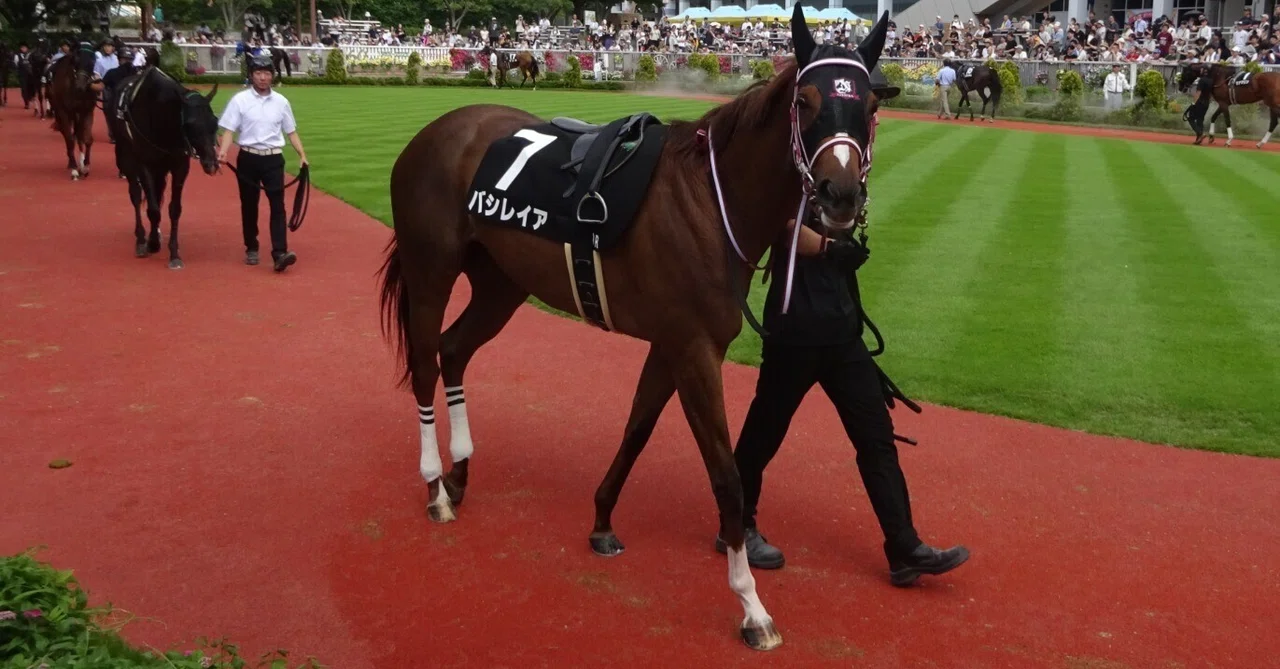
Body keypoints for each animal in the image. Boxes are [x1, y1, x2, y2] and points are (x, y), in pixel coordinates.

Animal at [47, 45, 103, 180]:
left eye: (92, 62)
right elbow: (69, 139)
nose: (81, 86)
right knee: (67, 134)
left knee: (78, 134)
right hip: (59, 111)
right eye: (76, 61)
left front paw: (85, 166)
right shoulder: (64, 111)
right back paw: (71, 162)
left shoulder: (87, 110)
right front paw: (74, 169)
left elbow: (87, 139)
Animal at [104, 67, 221, 269]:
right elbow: (152, 208)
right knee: (136, 195)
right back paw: (141, 238)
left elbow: (174, 208)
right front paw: (151, 243)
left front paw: (173, 253)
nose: (211, 163)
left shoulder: (179, 165)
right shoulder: (145, 163)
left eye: (215, 121)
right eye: (189, 124)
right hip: (126, 155)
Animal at [378, 5, 891, 650]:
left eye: (868, 106)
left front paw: (601, 521)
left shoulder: (671, 344)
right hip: (431, 269)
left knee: (453, 350)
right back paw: (434, 488)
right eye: (805, 99)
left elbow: (637, 430)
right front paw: (751, 605)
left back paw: (461, 472)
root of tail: (435, 131)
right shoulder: (695, 350)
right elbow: (725, 474)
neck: (710, 203)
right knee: (425, 362)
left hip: (501, 284)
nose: (839, 194)